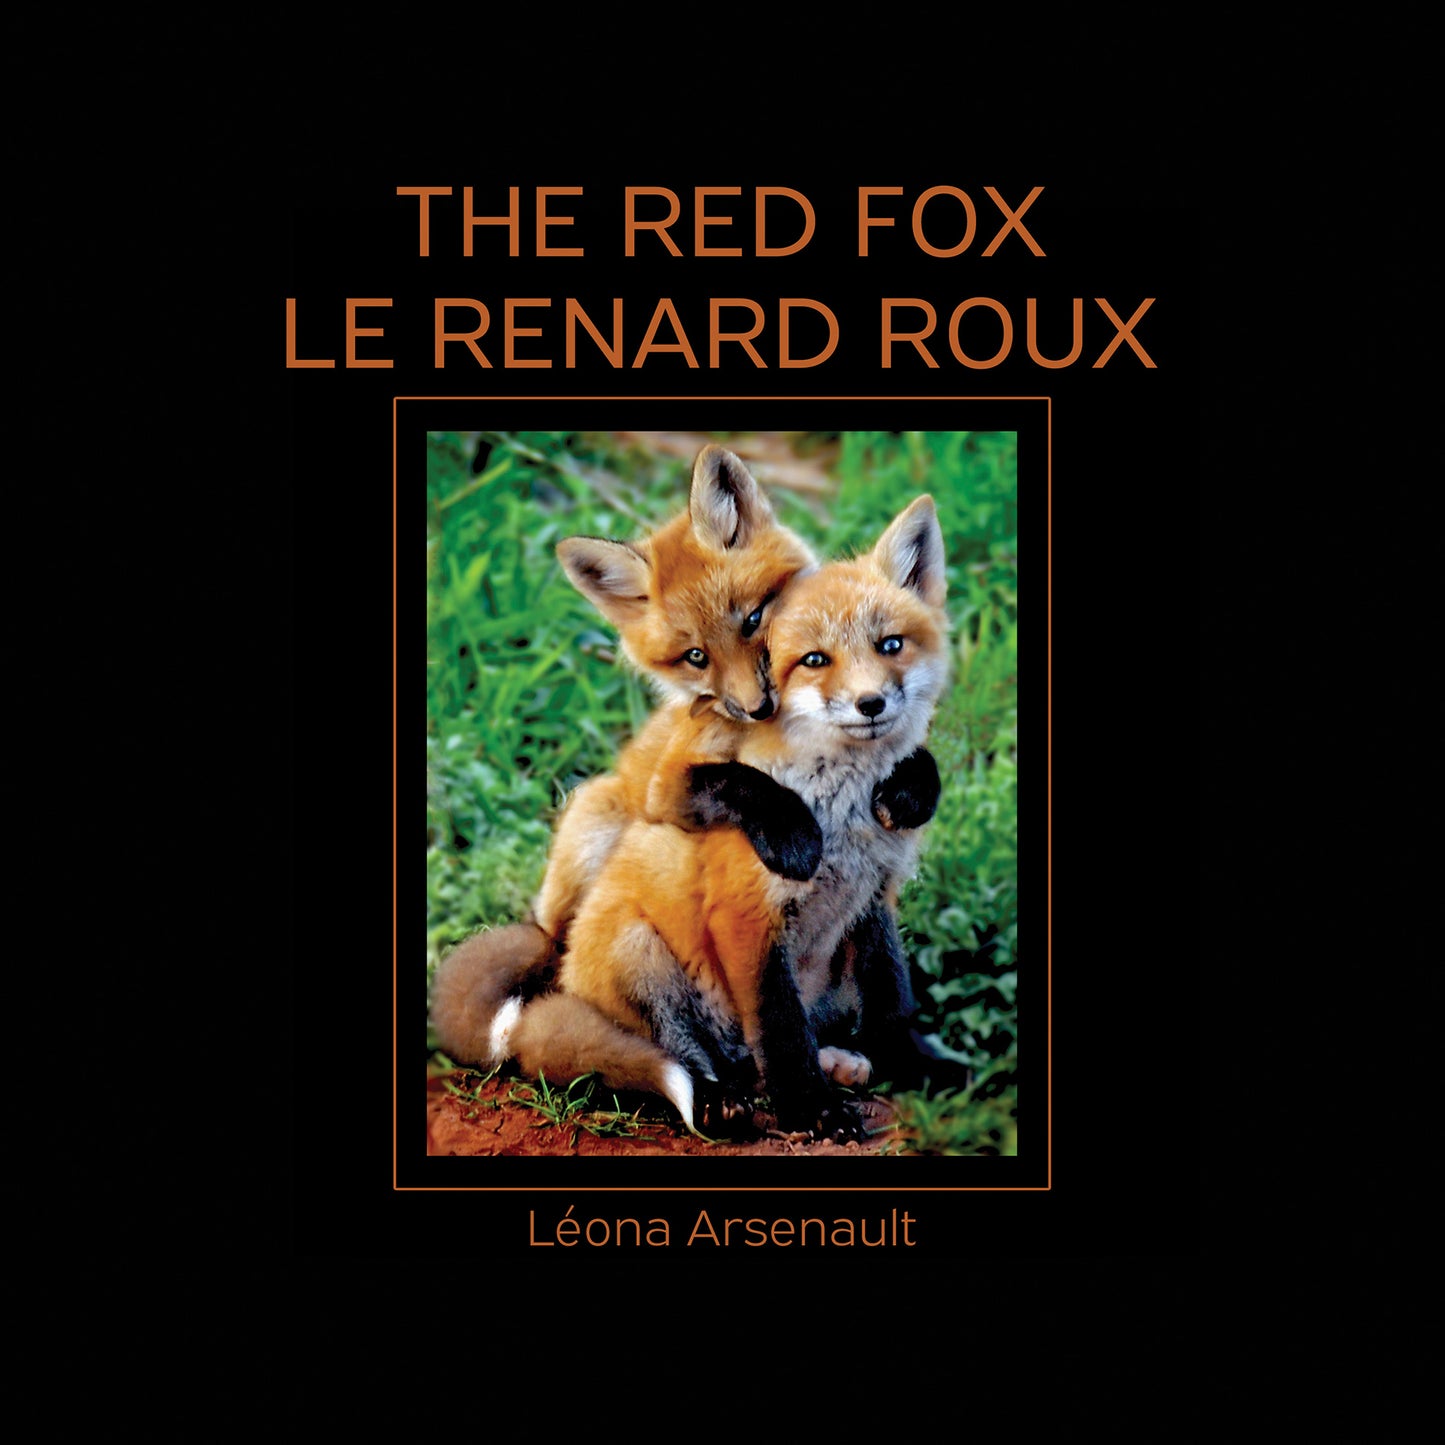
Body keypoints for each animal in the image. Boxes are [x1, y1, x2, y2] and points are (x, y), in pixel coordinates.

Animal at [430, 449, 943, 1131]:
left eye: (753, 620)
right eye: (695, 656)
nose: (757, 708)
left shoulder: (870, 890)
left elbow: (891, 990)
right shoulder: (693, 815)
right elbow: (741, 790)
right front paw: (810, 1107)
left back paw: (836, 1057)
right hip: (617, 895)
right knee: (678, 1044)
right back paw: (721, 1094)